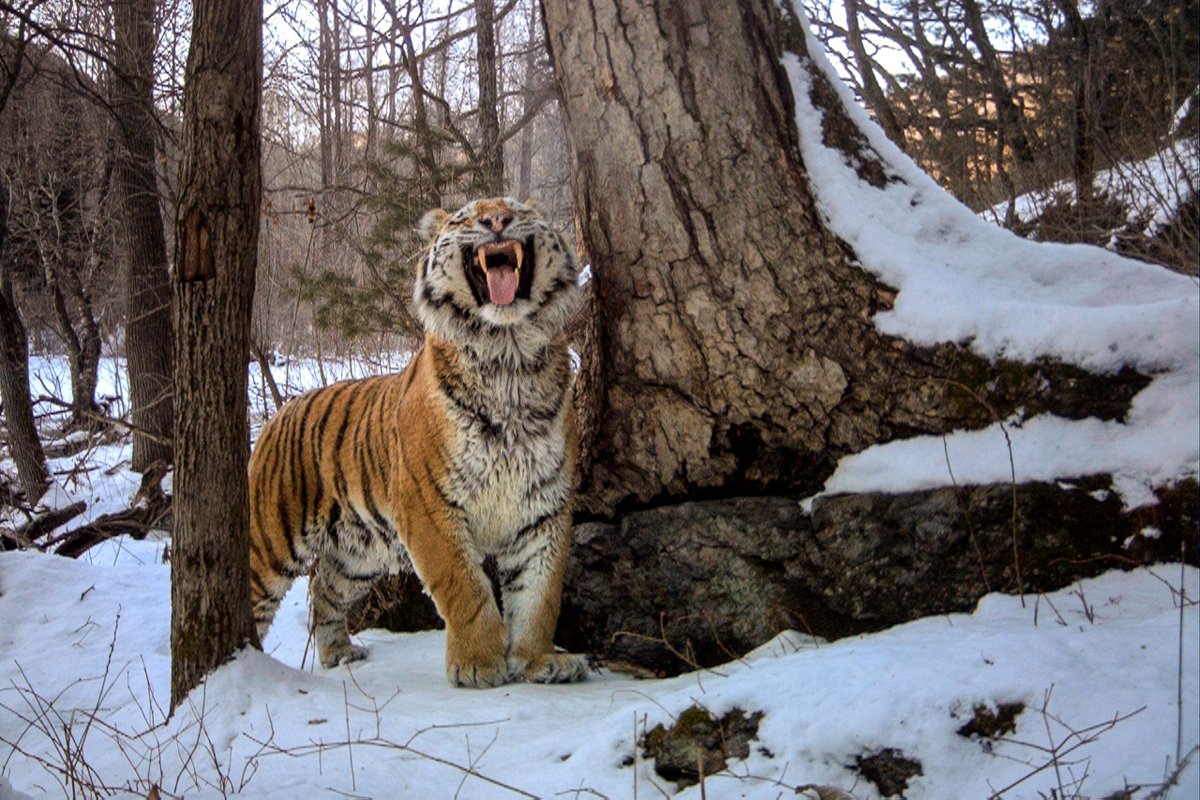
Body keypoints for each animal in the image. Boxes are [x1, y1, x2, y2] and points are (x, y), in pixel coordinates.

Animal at [247, 197, 588, 688]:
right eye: (468, 216)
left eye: (517, 209)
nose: (497, 220)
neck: (509, 357)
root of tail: (282, 411)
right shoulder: (428, 505)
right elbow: (466, 588)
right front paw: (479, 665)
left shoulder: (543, 508)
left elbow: (539, 596)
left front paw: (539, 661)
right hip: (271, 540)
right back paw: (242, 669)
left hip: (359, 551)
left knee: (324, 589)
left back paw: (338, 653)